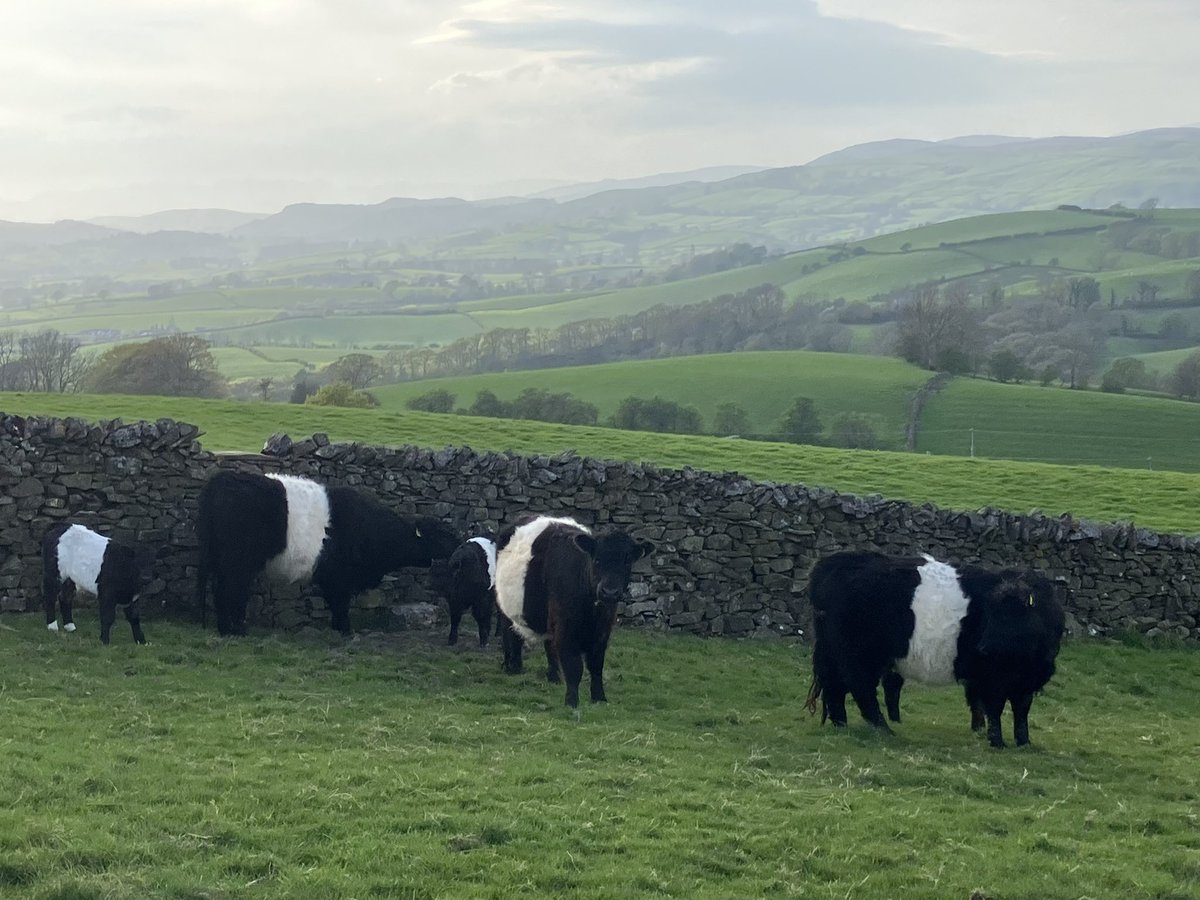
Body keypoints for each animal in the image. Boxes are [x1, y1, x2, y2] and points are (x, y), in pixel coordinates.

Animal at [196, 468, 458, 638]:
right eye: (444, 535)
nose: (459, 546)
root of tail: (222, 479)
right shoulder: (339, 576)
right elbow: (340, 603)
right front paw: (345, 630)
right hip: (237, 562)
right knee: (230, 592)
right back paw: (236, 630)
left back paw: (227, 629)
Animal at [492, 518, 652, 710]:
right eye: (597, 559)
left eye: (627, 561)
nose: (610, 592)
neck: (592, 611)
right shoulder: (566, 629)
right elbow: (574, 667)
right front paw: (571, 702)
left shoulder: (602, 631)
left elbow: (596, 665)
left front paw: (599, 698)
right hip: (505, 608)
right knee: (510, 635)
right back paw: (513, 668)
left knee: (548, 644)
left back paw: (553, 677)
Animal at [801, 554, 1065, 748]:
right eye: (990, 614)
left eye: (1011, 614)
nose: (985, 647)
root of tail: (833, 563)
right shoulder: (992, 679)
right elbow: (995, 709)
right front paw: (997, 742)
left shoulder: (1025, 681)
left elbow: (1021, 711)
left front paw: (1024, 743)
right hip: (859, 656)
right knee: (861, 690)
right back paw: (883, 729)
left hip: (835, 655)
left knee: (835, 689)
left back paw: (842, 725)